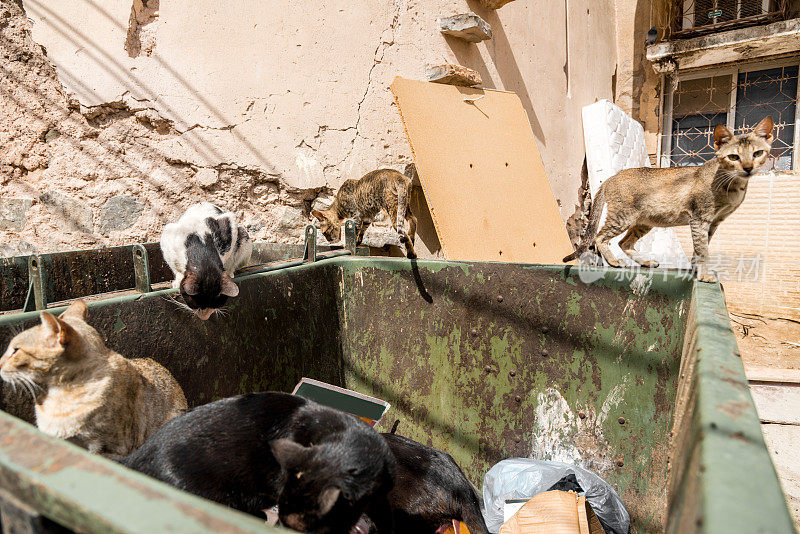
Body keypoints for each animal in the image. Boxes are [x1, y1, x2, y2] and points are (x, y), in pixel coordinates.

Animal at [564, 116, 776, 284]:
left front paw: (695, 270)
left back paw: (646, 262)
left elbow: (700, 249)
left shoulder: (714, 222)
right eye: (733, 157)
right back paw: (615, 262)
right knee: (600, 237)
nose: (748, 168)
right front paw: (704, 275)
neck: (733, 185)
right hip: (623, 217)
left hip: (644, 222)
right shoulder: (700, 219)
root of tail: (612, 177)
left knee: (624, 243)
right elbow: (703, 250)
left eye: (757, 153)